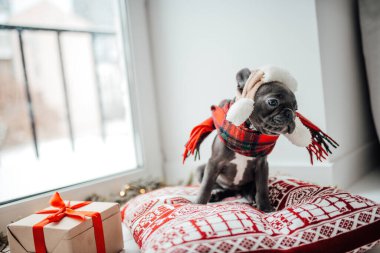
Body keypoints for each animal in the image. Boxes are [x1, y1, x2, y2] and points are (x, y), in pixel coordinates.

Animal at [196, 68, 296, 212]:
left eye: (296, 108)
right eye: (273, 102)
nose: (290, 113)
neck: (249, 133)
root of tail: (235, 191)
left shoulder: (262, 166)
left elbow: (262, 188)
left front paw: (266, 208)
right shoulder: (214, 163)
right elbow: (206, 185)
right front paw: (198, 204)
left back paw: (251, 198)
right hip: (200, 170)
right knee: (217, 187)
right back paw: (216, 194)